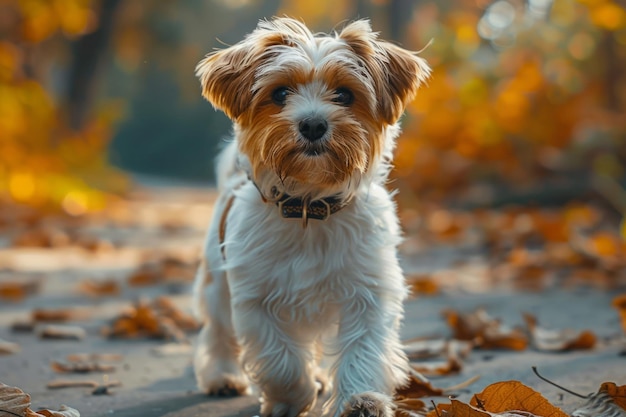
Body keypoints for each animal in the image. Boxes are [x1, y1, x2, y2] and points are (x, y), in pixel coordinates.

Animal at [193, 16, 432, 416]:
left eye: (344, 95)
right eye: (280, 94)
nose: (313, 124)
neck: (309, 207)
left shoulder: (368, 292)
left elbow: (362, 349)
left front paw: (359, 400)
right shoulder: (256, 297)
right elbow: (281, 360)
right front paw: (291, 399)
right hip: (217, 286)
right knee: (220, 334)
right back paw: (222, 376)